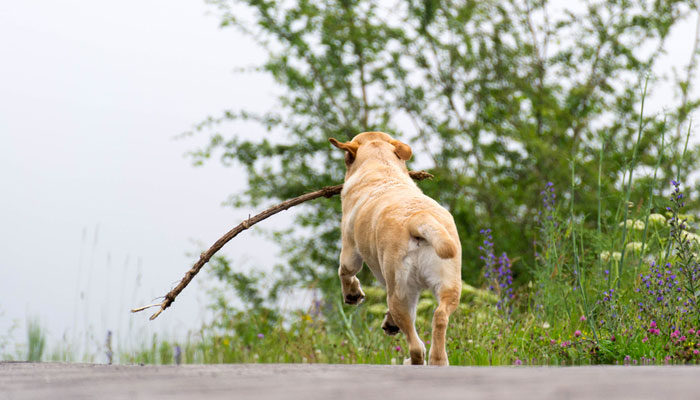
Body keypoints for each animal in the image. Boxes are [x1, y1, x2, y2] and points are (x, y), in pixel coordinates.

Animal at [330, 130, 462, 366]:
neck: (381, 167)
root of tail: (418, 219)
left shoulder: (350, 250)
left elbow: (345, 272)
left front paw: (352, 294)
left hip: (400, 292)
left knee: (416, 346)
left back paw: (414, 360)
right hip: (448, 284)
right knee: (439, 317)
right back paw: (438, 360)